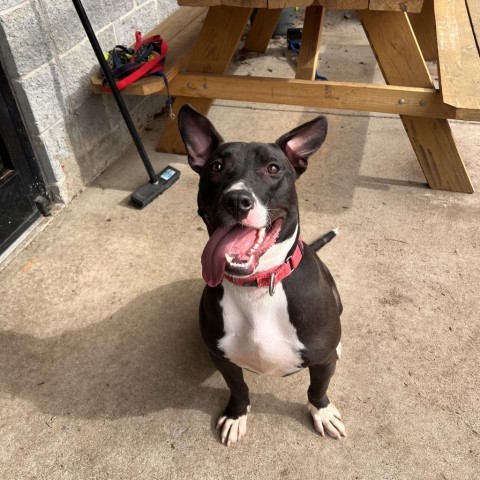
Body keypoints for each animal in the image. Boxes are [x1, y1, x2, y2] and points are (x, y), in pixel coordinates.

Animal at [178, 105, 344, 446]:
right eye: (216, 166)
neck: (256, 285)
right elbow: (238, 387)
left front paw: (322, 412)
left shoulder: (322, 361)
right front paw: (236, 414)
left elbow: (318, 387)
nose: (236, 200)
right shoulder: (222, 358)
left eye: (273, 168)